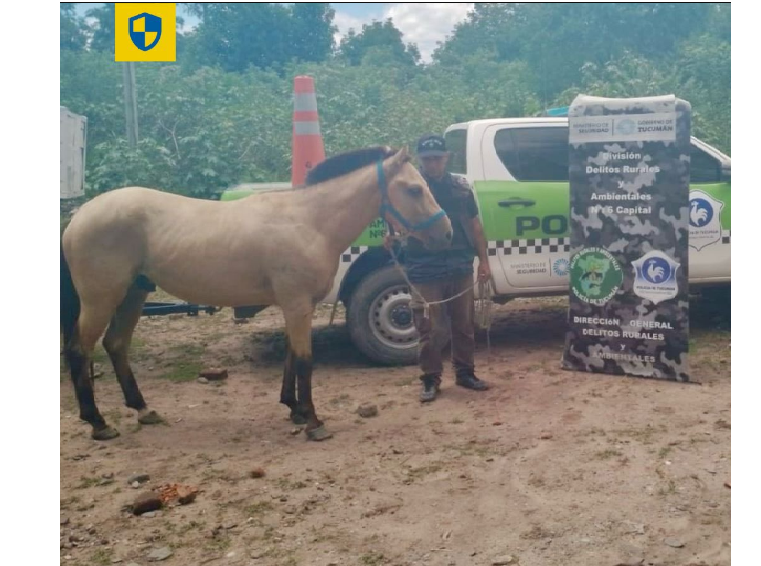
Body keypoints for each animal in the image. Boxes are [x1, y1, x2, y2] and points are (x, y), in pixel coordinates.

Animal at [60, 146, 452, 444]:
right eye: (414, 189)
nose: (447, 233)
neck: (310, 222)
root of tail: (80, 215)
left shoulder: (297, 306)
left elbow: (292, 357)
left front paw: (294, 409)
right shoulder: (297, 305)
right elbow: (305, 360)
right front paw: (314, 422)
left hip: (132, 294)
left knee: (116, 345)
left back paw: (143, 410)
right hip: (100, 300)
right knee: (80, 349)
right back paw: (98, 422)